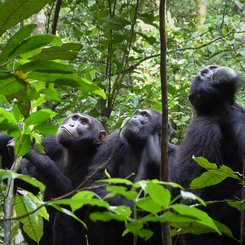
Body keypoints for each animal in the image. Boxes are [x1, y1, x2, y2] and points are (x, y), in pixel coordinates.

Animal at [83, 110, 178, 245]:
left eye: (145, 115)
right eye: (138, 113)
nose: (135, 116)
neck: (139, 146)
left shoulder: (175, 157)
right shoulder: (112, 142)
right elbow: (97, 182)